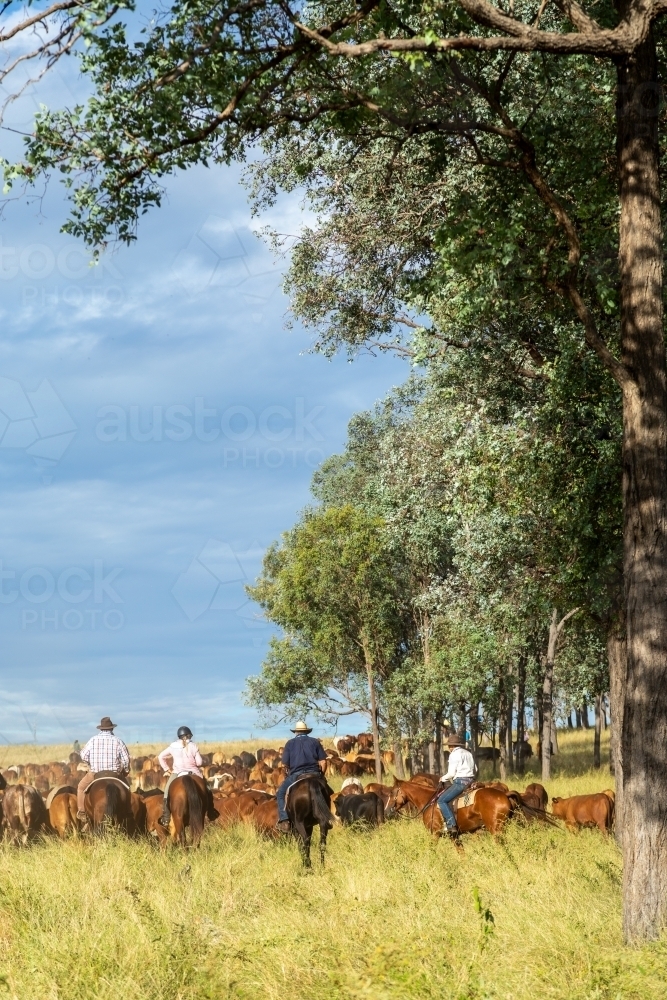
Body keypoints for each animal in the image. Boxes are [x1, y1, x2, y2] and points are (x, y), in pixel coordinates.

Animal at [392, 780, 520, 836]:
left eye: (393, 791)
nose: (390, 809)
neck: (429, 799)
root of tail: (505, 794)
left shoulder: (435, 834)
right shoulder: (454, 837)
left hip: (495, 829)